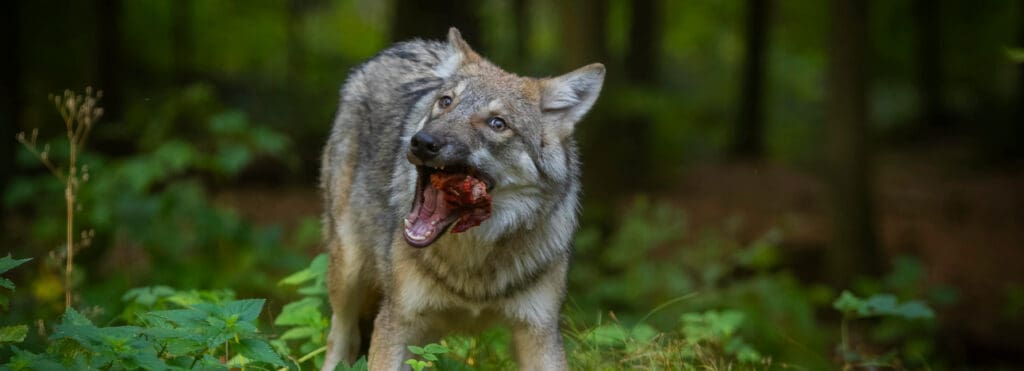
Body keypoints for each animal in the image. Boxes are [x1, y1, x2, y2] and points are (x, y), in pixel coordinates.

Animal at [319, 28, 602, 371]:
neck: (473, 264)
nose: (422, 141)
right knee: (340, 340)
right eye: (446, 102)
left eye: (497, 123)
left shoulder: (540, 332)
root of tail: (401, 46)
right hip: (348, 274)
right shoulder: (396, 322)